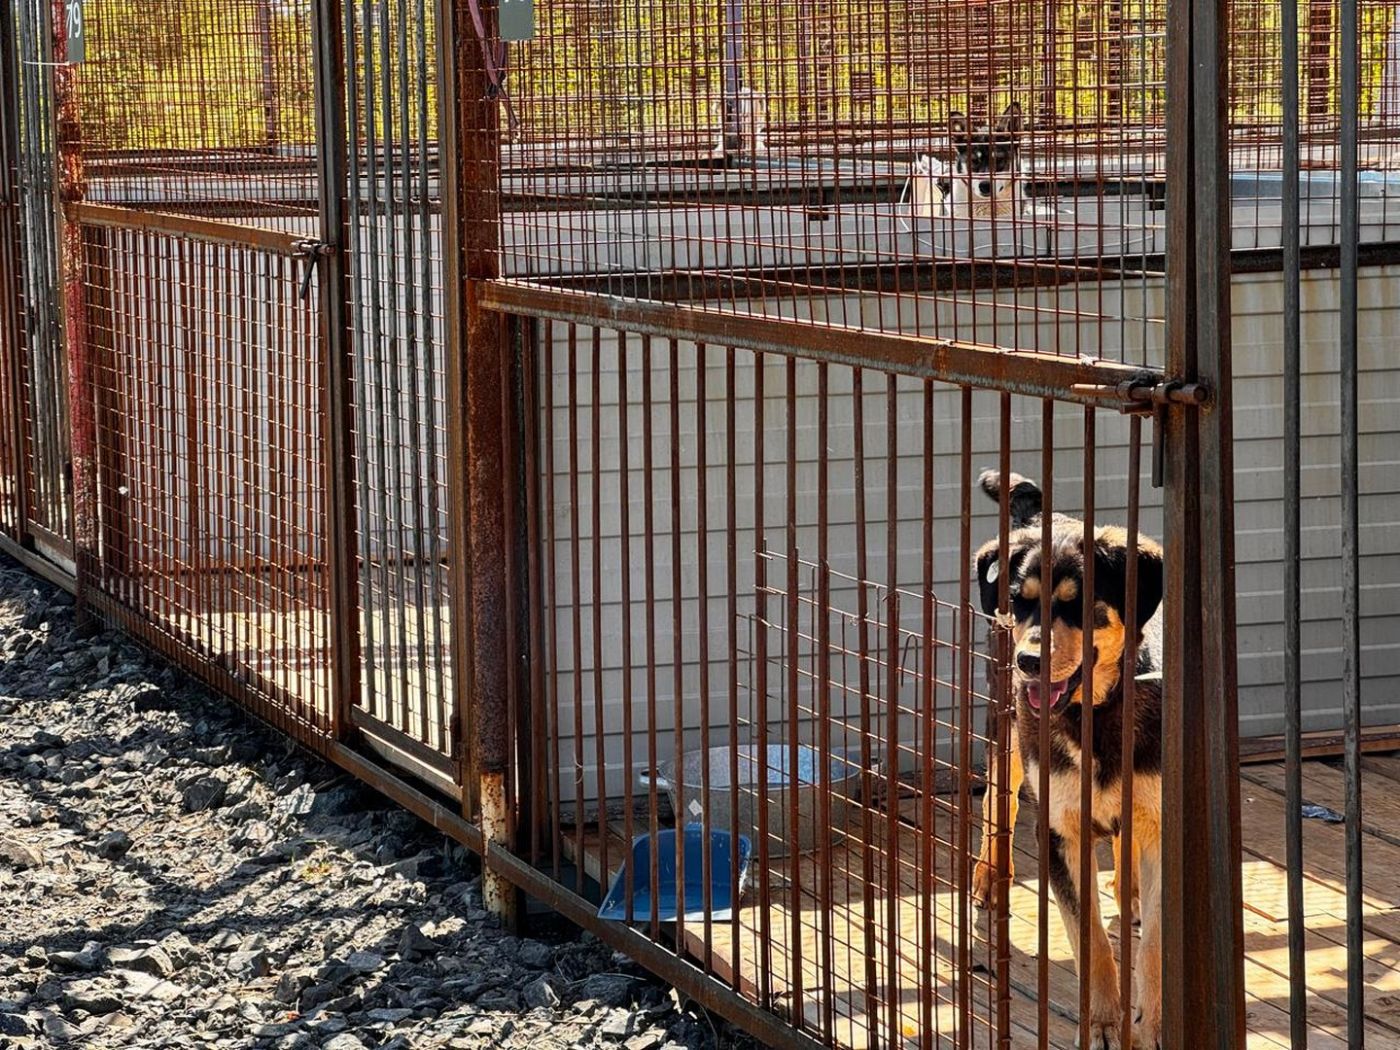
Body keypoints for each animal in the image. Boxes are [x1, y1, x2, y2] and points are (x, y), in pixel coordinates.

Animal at [968, 476, 1164, 1050]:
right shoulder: (1060, 831)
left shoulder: (1162, 823)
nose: (1028, 662)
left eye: (1080, 607)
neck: (1095, 711)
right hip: (1004, 733)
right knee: (998, 799)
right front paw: (1102, 1023)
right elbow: (1090, 938)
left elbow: (1154, 944)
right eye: (1019, 602)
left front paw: (1152, 1024)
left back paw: (1129, 891)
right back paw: (990, 875)